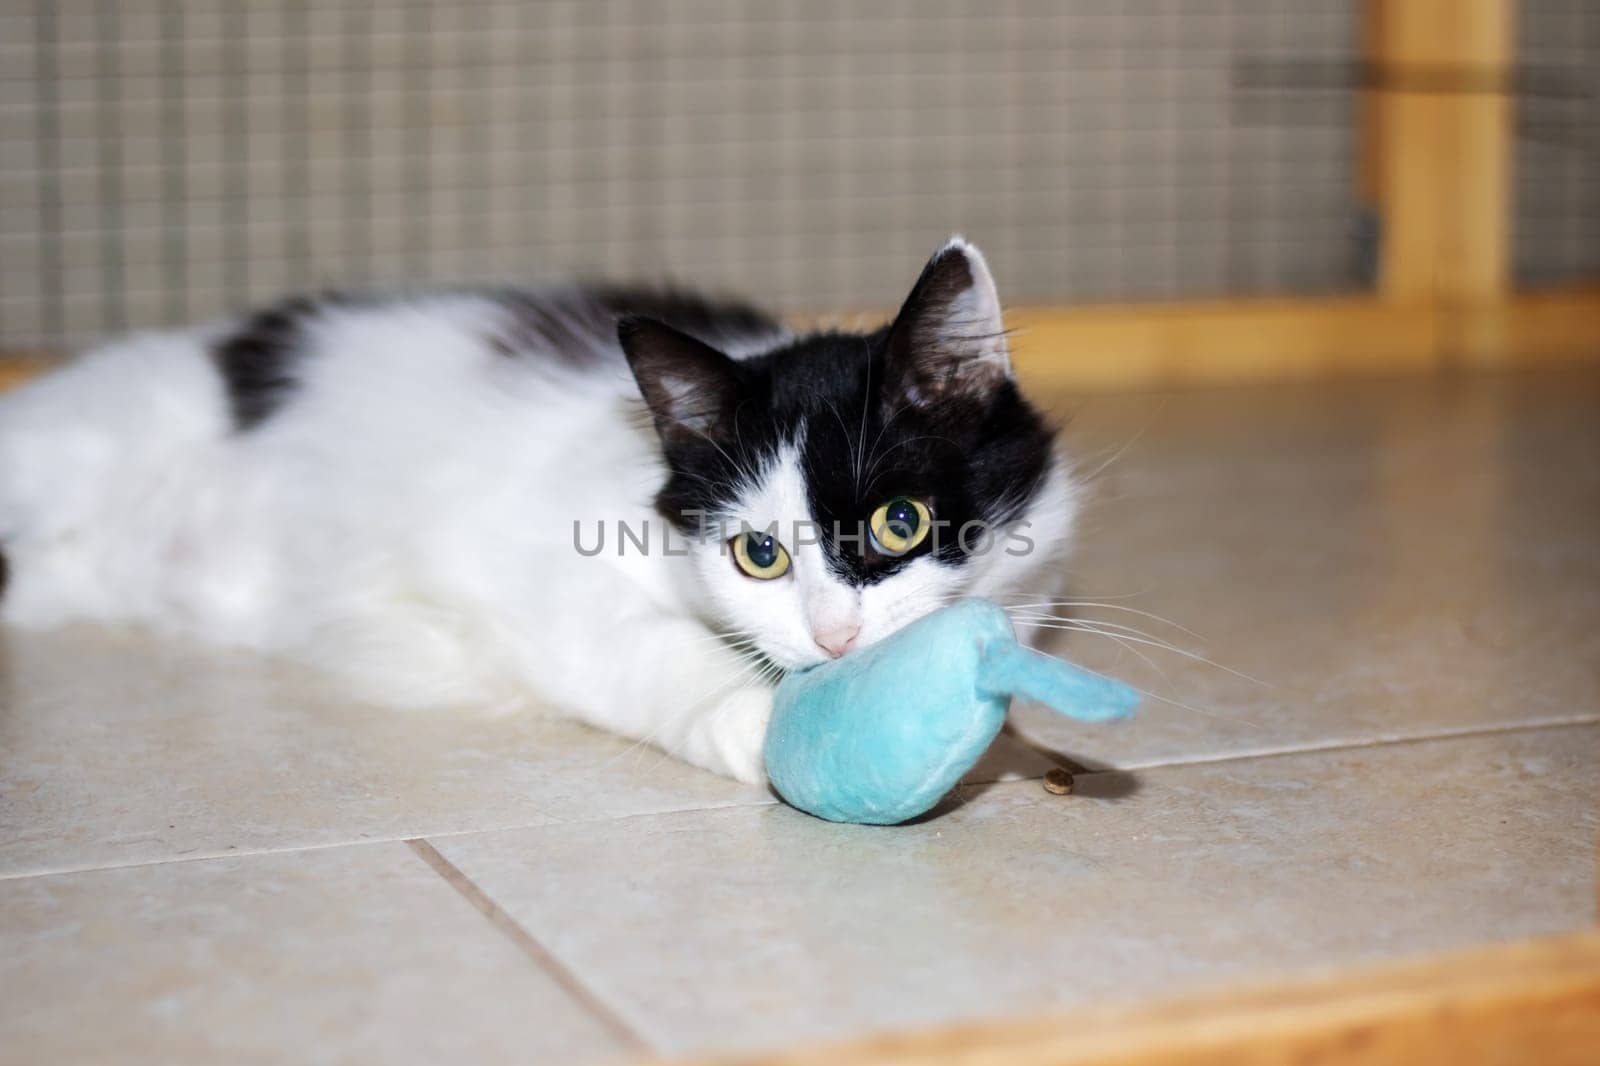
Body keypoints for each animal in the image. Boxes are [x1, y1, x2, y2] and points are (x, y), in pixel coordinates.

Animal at [0, 238, 1081, 781]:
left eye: (901, 523)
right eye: (759, 555)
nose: (835, 639)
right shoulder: (548, 571)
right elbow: (651, 648)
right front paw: (759, 729)